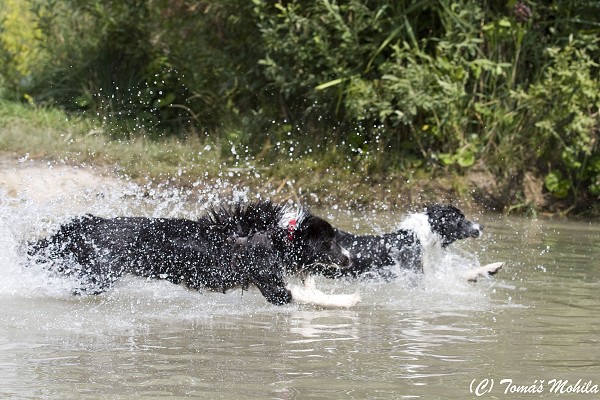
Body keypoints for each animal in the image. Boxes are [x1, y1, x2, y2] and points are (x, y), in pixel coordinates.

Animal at [29, 202, 360, 308]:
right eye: (329, 241)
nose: (349, 258)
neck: (279, 238)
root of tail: (90, 223)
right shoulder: (272, 286)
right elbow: (308, 296)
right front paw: (349, 300)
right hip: (97, 277)